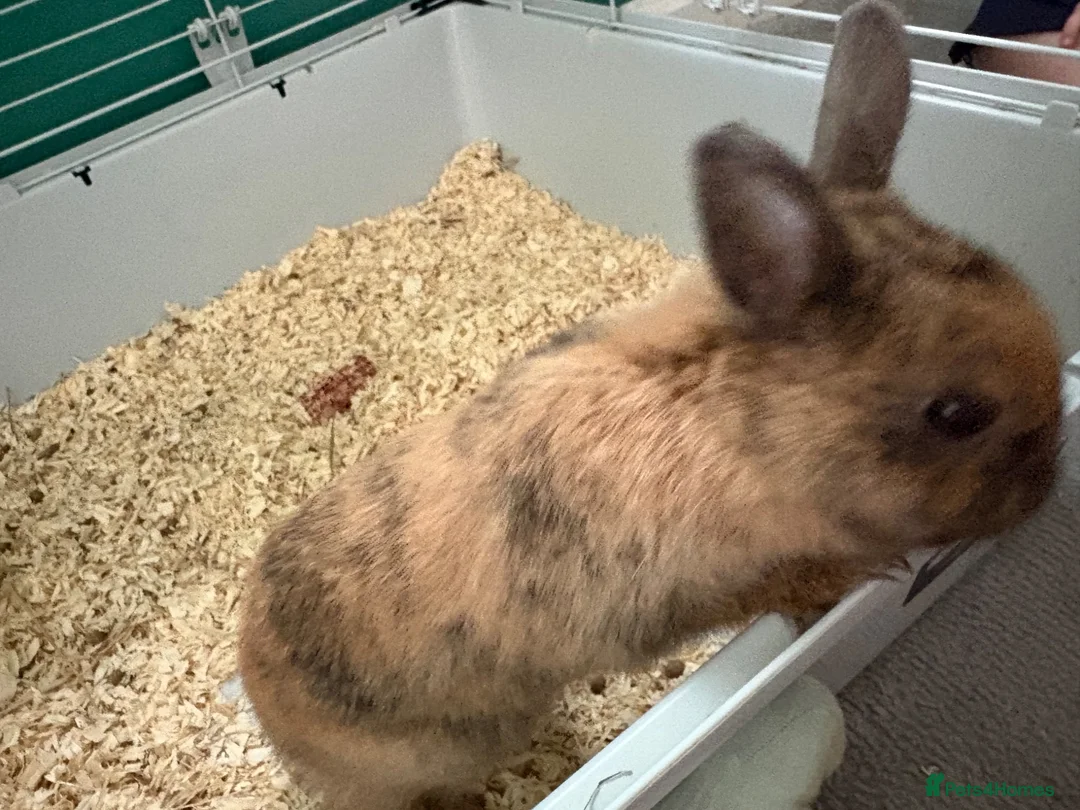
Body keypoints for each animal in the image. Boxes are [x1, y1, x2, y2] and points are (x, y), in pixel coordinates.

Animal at [237, 1, 1064, 808]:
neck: (738, 431)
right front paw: (867, 572)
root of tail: (261, 699)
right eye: (957, 414)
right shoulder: (668, 597)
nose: (1046, 493)